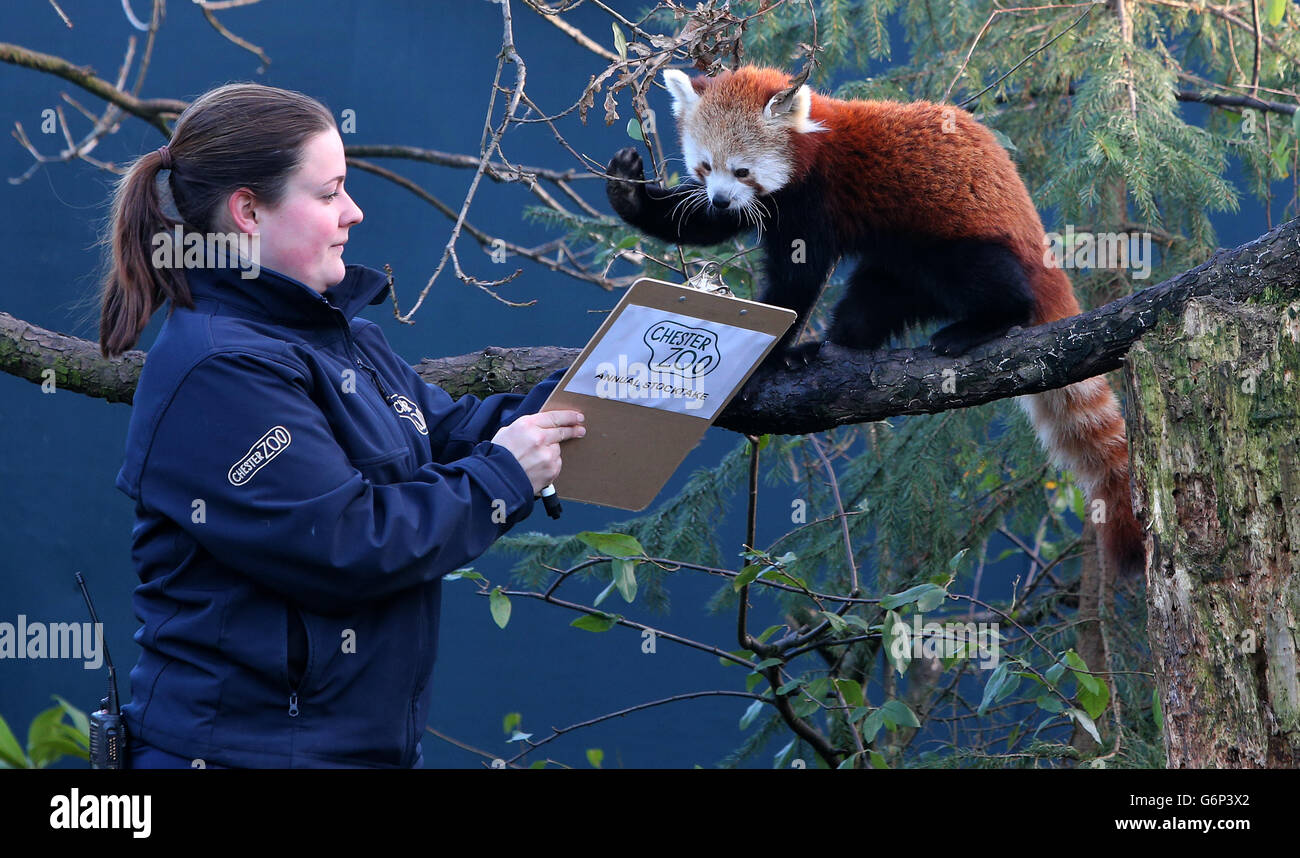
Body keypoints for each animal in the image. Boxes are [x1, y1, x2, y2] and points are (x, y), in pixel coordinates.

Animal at [603, 65, 1144, 577]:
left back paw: (982, 323)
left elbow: (797, 279)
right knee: (869, 303)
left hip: (958, 237)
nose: (719, 196)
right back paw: (834, 347)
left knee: (985, 278)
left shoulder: (814, 199)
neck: (812, 149)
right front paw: (629, 192)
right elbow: (706, 225)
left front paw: (772, 352)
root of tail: (1040, 248)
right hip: (898, 276)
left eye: (742, 169)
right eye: (705, 167)